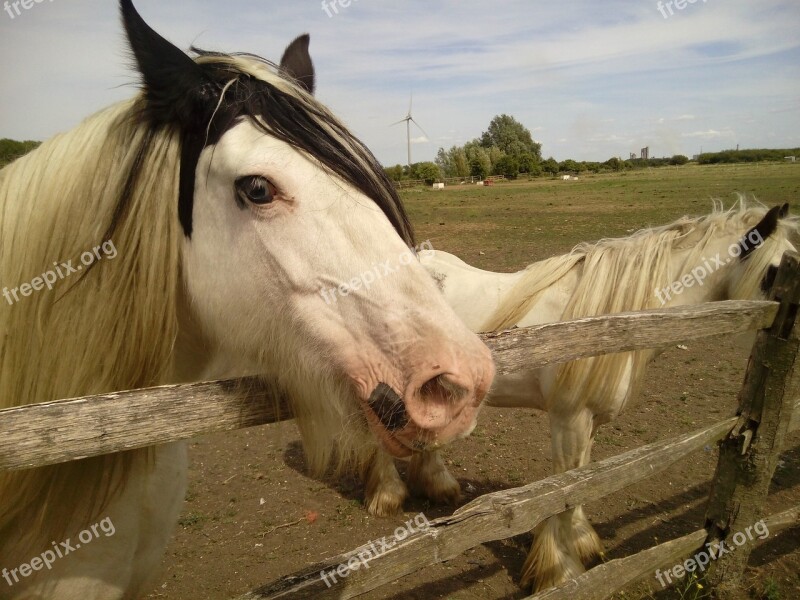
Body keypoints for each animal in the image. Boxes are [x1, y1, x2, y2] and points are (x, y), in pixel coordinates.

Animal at [368, 202, 792, 592]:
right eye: (776, 271)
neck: (607, 322)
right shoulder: (569, 420)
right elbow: (565, 489)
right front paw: (560, 571)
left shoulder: (590, 422)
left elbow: (586, 479)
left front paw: (582, 544)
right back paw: (387, 496)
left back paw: (436, 484)